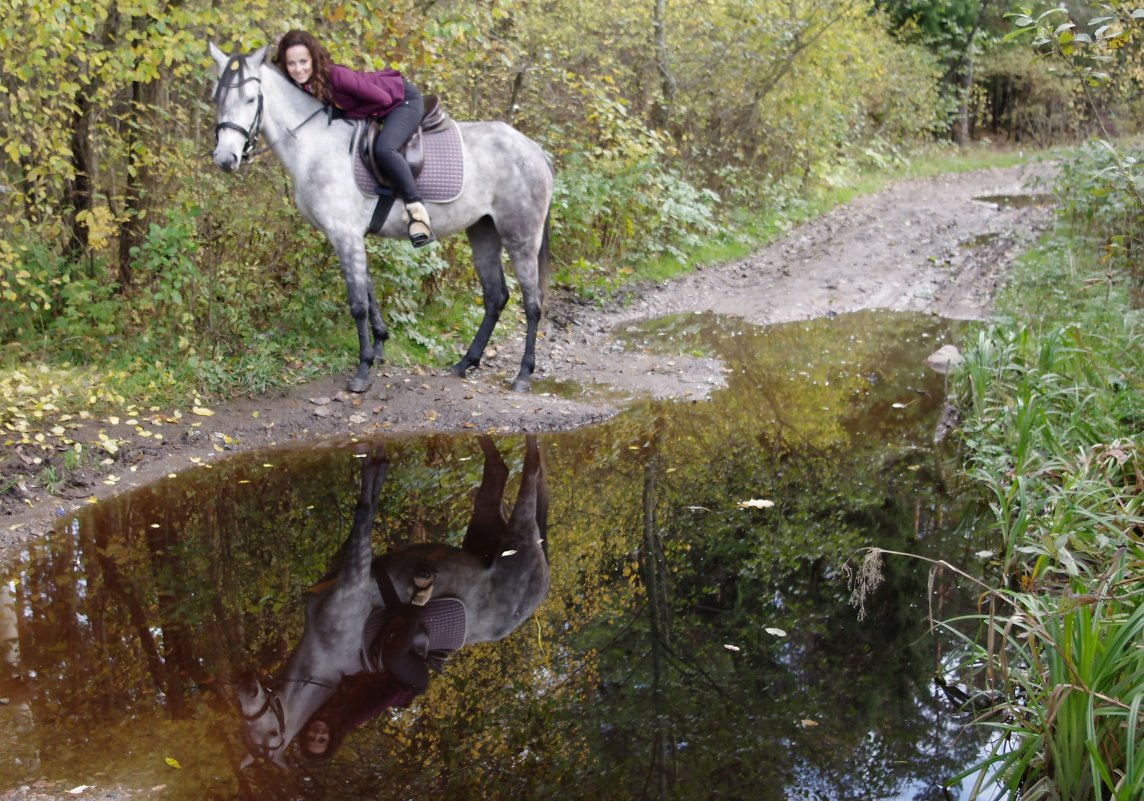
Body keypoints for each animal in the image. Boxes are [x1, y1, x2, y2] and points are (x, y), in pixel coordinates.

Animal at [212, 44, 555, 393]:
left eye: (250, 99)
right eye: (217, 97)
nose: (225, 159)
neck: (316, 147)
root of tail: (535, 150)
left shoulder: (345, 235)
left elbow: (358, 304)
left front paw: (363, 369)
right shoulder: (351, 237)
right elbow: (369, 292)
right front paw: (378, 348)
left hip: (521, 237)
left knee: (532, 303)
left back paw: (523, 374)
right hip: (483, 231)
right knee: (496, 297)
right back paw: (465, 363)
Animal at [234, 437, 546, 768]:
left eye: (267, 733)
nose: (244, 683)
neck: (322, 648)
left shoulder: (353, 570)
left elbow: (365, 506)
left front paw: (374, 460)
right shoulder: (355, 574)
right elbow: (365, 509)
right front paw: (375, 462)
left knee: (520, 469)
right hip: (499, 528)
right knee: (508, 471)